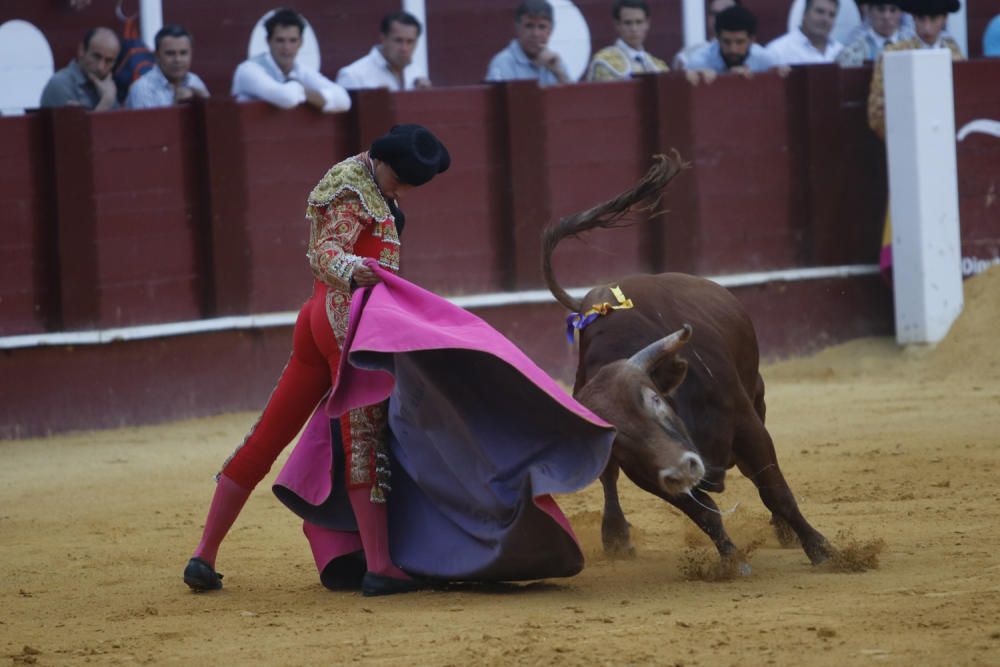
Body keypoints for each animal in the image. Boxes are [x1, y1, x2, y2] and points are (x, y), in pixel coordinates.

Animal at [544, 154, 832, 572]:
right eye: (620, 437)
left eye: (655, 401)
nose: (683, 469)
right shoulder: (650, 473)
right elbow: (704, 513)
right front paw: (732, 561)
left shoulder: (748, 426)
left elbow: (775, 490)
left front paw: (821, 548)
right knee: (609, 481)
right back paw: (615, 536)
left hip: (757, 393)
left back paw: (785, 531)